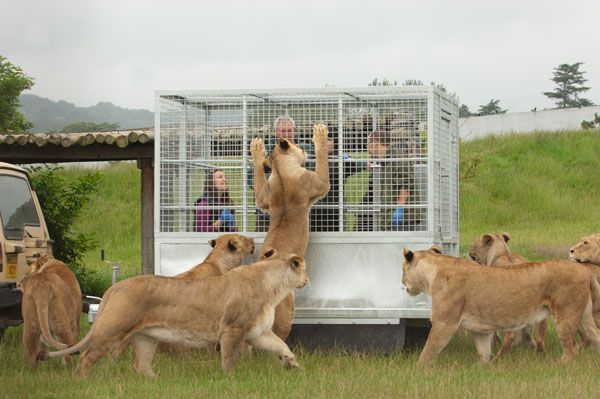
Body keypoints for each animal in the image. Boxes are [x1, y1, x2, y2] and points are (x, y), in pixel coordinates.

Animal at [37, 250, 308, 378]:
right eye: (304, 269)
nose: (307, 280)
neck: (274, 287)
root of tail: (116, 286)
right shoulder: (234, 329)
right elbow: (230, 358)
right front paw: (229, 378)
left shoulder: (257, 332)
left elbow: (280, 345)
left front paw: (292, 363)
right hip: (111, 329)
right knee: (85, 358)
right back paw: (81, 380)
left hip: (145, 338)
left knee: (140, 365)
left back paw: (156, 381)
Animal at [251, 123, 330, 340]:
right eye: (298, 144)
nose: (303, 147)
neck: (280, 169)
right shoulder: (320, 183)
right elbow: (322, 160)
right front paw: (320, 135)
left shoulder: (263, 198)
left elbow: (258, 179)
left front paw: (257, 151)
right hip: (286, 310)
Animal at [398, 248, 600, 368]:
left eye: (402, 269)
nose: (402, 281)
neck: (432, 273)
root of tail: (584, 270)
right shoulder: (480, 331)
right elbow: (484, 352)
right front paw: (485, 368)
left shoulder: (444, 323)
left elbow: (428, 351)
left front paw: (417, 371)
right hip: (584, 317)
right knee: (595, 337)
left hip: (565, 315)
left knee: (572, 349)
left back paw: (558, 366)